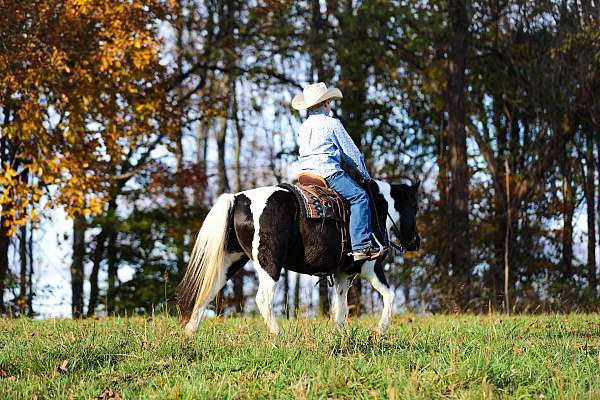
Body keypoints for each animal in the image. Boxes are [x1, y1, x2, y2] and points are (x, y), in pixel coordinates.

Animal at [176, 180, 420, 338]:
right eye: (415, 207)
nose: (415, 242)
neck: (377, 208)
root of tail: (239, 199)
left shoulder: (343, 273)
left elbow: (340, 305)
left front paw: (339, 336)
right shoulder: (371, 267)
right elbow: (389, 295)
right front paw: (379, 331)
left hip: (231, 260)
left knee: (206, 292)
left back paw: (190, 333)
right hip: (269, 263)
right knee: (263, 299)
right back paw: (279, 335)